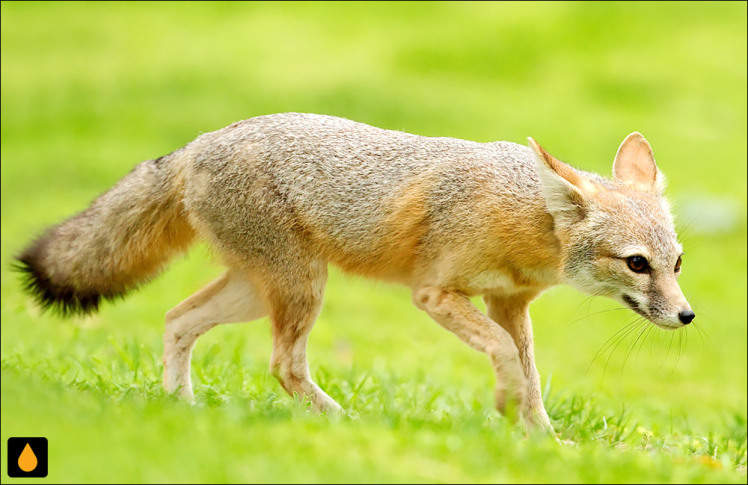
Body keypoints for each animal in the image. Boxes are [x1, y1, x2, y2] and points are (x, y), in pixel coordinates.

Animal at [16, 112, 696, 432]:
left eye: (677, 263)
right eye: (637, 264)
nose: (688, 315)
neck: (525, 215)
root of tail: (199, 143)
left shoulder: (509, 303)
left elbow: (533, 379)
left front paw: (544, 442)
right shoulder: (436, 294)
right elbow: (507, 360)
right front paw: (506, 409)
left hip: (257, 292)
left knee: (177, 318)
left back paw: (182, 409)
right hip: (299, 290)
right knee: (283, 366)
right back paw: (347, 423)